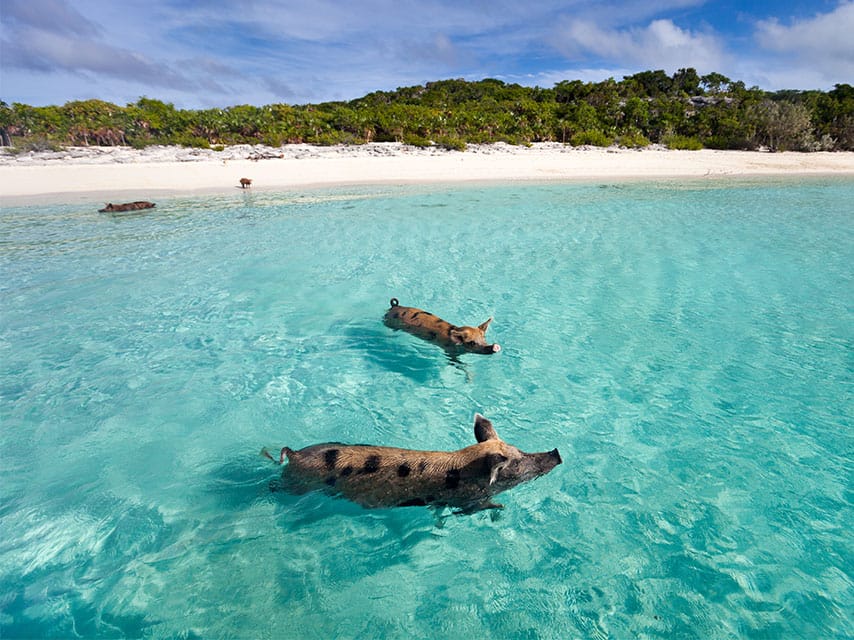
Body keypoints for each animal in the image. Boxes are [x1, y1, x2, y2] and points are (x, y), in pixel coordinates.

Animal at [264, 414, 561, 513]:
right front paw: (501, 508)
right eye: (517, 462)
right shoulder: (466, 500)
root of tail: (294, 453)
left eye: (519, 449)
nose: (557, 452)